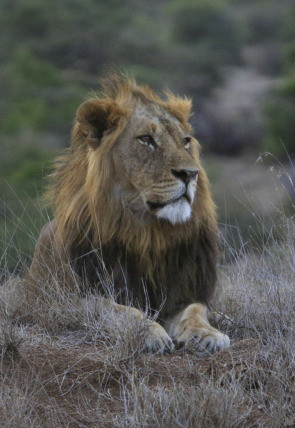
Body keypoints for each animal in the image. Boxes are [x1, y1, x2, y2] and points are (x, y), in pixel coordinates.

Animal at [27, 76, 231, 354]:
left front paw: (207, 334)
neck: (147, 234)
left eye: (185, 141)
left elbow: (196, 310)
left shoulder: (184, 290)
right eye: (146, 139)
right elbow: (118, 310)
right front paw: (148, 333)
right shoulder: (74, 297)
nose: (190, 174)